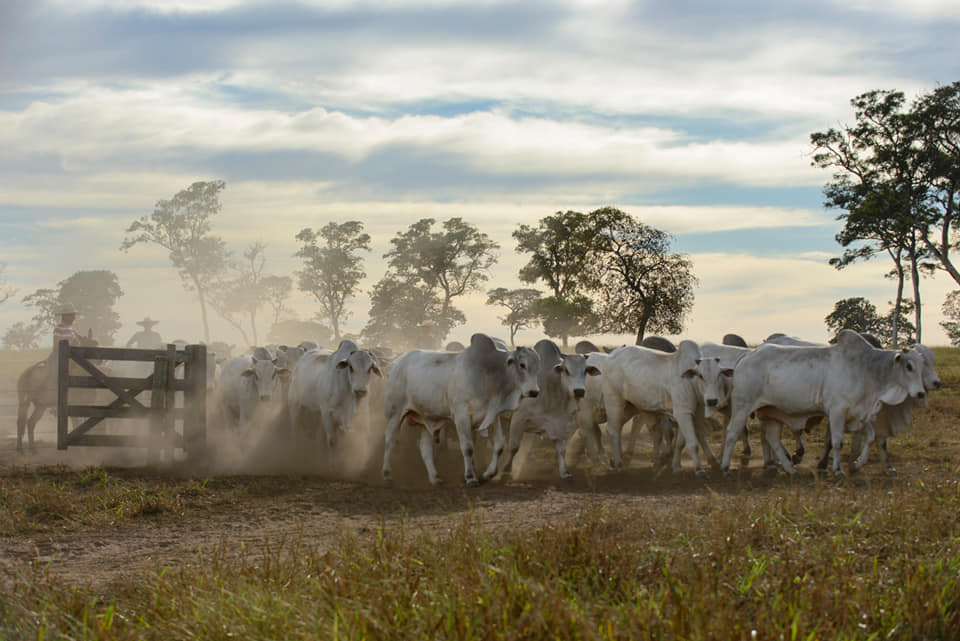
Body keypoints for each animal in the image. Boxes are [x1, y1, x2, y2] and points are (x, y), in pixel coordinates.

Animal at [380, 332, 540, 488]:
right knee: (389, 441)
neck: (487, 374)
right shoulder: (461, 415)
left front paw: (488, 474)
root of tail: (398, 362)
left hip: (427, 419)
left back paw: (435, 478)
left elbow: (499, 446)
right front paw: (470, 478)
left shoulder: (493, 416)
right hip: (394, 414)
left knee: (425, 449)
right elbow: (468, 448)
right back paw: (387, 475)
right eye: (522, 365)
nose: (534, 392)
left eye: (538, 366)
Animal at [496, 340, 600, 480]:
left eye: (585, 371)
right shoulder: (519, 418)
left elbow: (562, 449)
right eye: (566, 370)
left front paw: (564, 472)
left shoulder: (562, 423)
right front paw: (506, 471)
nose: (579, 391)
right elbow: (514, 447)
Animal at [600, 340, 728, 476]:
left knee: (621, 427)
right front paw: (699, 470)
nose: (712, 400)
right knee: (612, 429)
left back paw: (619, 460)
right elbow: (692, 443)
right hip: (614, 400)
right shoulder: (683, 412)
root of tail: (611, 355)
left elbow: (682, 442)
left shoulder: (694, 412)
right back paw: (619, 465)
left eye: (719, 375)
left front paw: (677, 467)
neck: (691, 382)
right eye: (700, 375)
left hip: (632, 406)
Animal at [724, 330, 928, 476]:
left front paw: (856, 465)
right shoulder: (837, 411)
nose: (920, 393)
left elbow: (871, 437)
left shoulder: (859, 413)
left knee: (772, 438)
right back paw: (725, 468)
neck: (865, 369)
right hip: (743, 407)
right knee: (732, 433)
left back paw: (790, 469)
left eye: (922, 366)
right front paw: (838, 470)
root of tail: (745, 357)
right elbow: (837, 442)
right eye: (909, 366)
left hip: (771, 412)